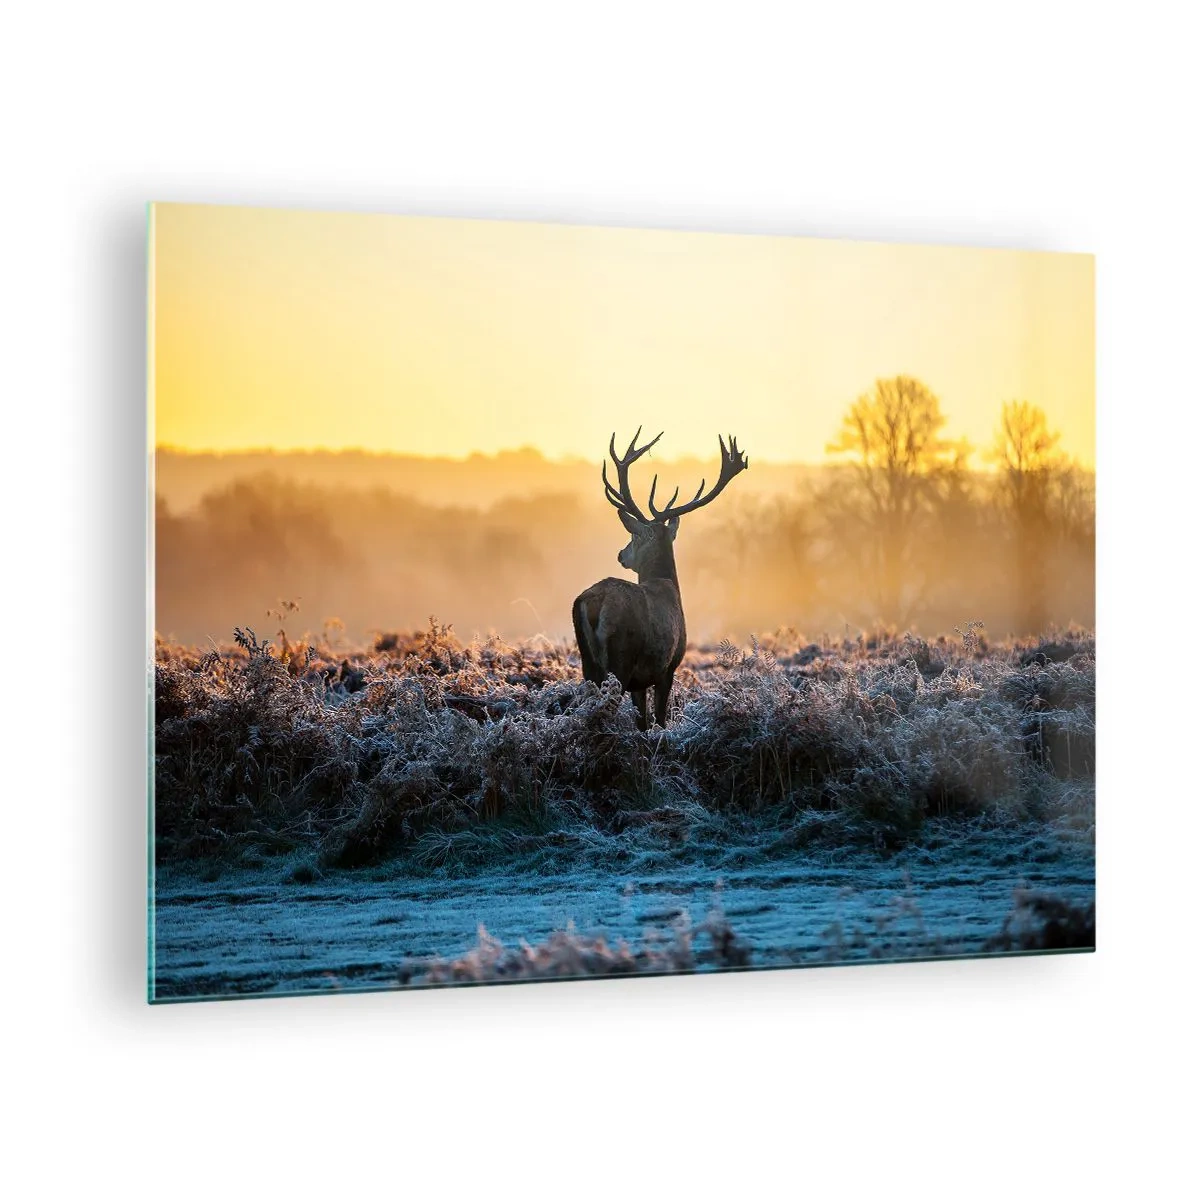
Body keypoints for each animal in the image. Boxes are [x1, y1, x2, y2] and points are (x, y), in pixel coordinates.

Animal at [572, 429, 749, 730]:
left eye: (633, 537)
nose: (621, 554)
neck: (667, 585)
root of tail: (593, 601)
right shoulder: (667, 667)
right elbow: (661, 719)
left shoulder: (641, 681)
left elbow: (643, 721)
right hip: (620, 657)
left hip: (588, 663)